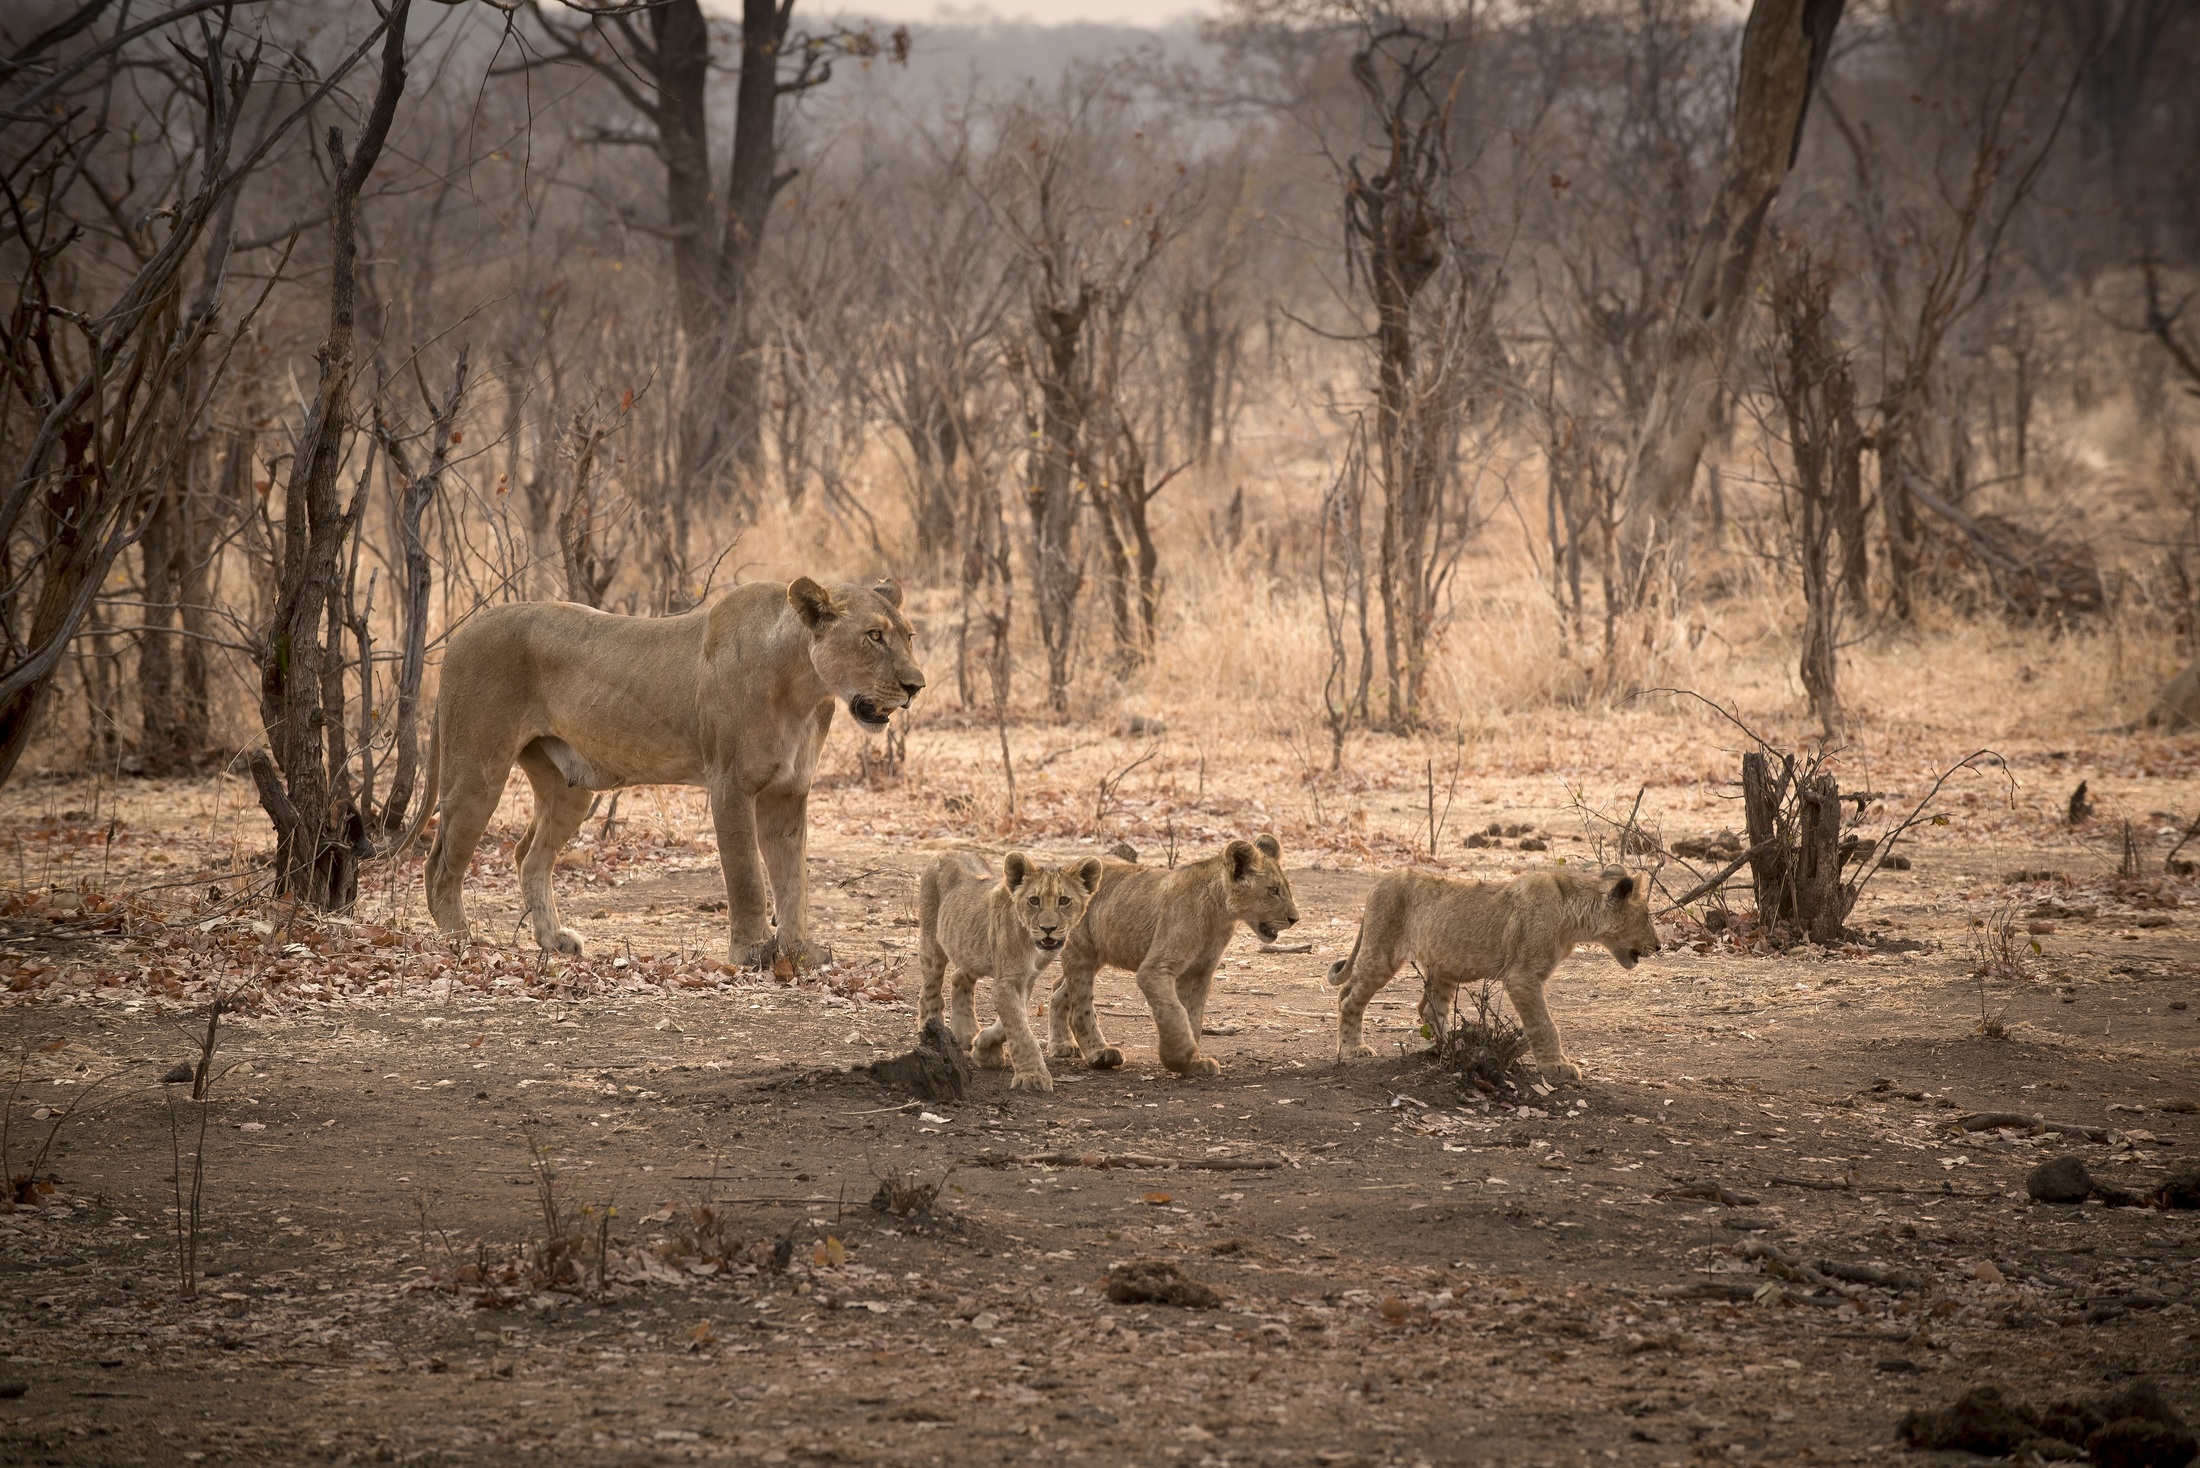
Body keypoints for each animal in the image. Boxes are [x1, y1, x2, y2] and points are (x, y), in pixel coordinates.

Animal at [392, 578, 924, 967]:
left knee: (529, 856)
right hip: (477, 769)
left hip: (570, 789)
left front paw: (799, 952)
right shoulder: (730, 786)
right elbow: (748, 876)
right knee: (439, 864)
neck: (804, 689)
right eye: (874, 636)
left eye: (909, 636)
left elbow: (794, 879)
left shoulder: (789, 792)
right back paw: (462, 943)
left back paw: (555, 940)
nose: (916, 685)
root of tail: (461, 633)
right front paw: (752, 951)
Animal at [918, 851, 1104, 1092]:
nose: (1048, 929)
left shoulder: (1026, 980)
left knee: (958, 976)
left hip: (970, 950)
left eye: (1064, 901)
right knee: (930, 991)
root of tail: (945, 852)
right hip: (932, 942)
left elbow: (1011, 1022)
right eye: (1034, 900)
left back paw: (967, 1033)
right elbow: (1020, 1029)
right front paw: (1032, 1076)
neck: (1031, 944)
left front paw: (983, 1048)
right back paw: (933, 1033)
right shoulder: (1007, 982)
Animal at [1043, 836, 1299, 1078]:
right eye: (1273, 890)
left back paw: (1062, 1044)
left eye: (1286, 888)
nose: (1295, 919)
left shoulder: (1199, 972)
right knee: (1080, 1007)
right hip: (1082, 951)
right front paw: (1178, 1058)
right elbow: (1174, 1013)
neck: (1220, 914)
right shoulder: (1155, 969)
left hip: (1097, 954)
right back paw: (1099, 1052)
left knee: (1057, 988)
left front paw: (1193, 1063)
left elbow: (1193, 1016)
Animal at [1327, 865, 1659, 1079]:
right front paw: (1556, 1066)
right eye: (1646, 916)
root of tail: (1379, 882)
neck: (1573, 919)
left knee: (1429, 1008)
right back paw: (1353, 1049)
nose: (1659, 945)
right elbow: (1544, 1024)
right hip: (1382, 952)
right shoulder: (1522, 977)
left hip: (1445, 965)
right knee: (1348, 996)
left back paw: (1451, 1047)